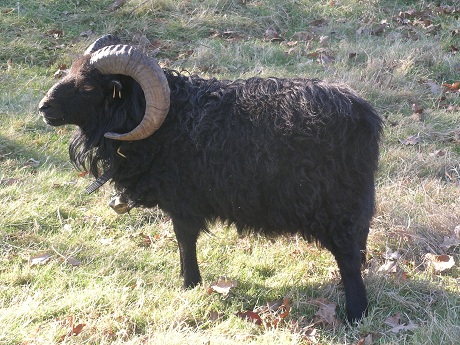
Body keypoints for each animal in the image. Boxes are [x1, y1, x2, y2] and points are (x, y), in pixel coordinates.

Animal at [39, 35, 382, 322]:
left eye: (88, 87)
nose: (44, 107)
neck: (168, 121)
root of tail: (364, 116)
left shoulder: (183, 201)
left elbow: (184, 240)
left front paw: (190, 283)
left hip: (333, 202)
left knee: (348, 256)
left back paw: (356, 313)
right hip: (356, 201)